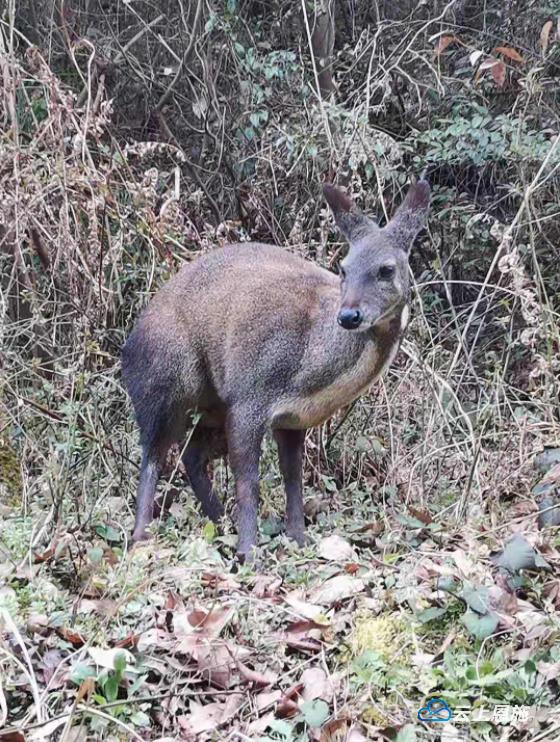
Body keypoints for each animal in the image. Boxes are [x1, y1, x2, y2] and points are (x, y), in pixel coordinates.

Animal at [121, 179, 428, 560]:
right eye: (344, 268)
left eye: (386, 269)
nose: (348, 315)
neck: (307, 363)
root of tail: (128, 348)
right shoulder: (249, 396)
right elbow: (248, 480)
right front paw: (249, 552)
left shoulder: (293, 418)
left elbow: (293, 477)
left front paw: (298, 538)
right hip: (165, 383)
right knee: (154, 453)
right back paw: (141, 535)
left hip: (212, 404)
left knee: (191, 454)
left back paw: (219, 522)